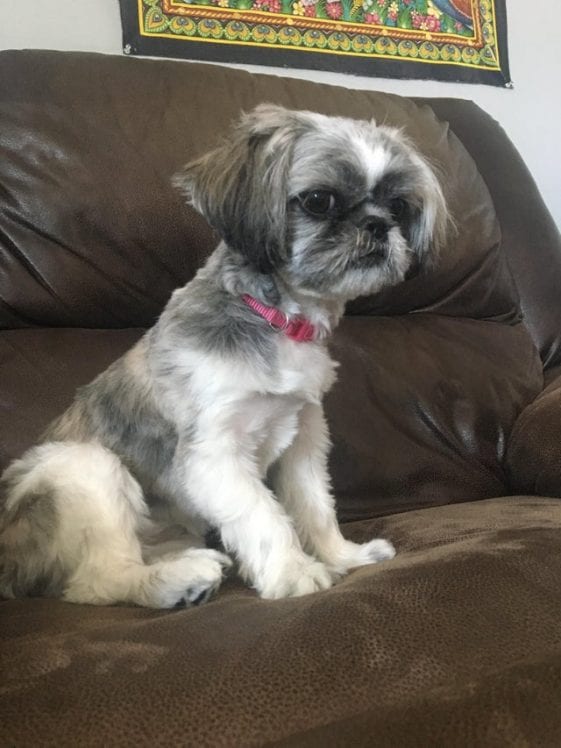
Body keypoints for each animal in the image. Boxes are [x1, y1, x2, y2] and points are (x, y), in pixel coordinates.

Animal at [0, 103, 446, 608]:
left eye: (398, 207)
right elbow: (263, 514)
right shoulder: (214, 453)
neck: (277, 319)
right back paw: (178, 580)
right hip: (83, 466)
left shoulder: (304, 439)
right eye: (319, 200)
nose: (377, 225)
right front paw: (294, 572)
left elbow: (314, 505)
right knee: (99, 581)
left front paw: (342, 556)